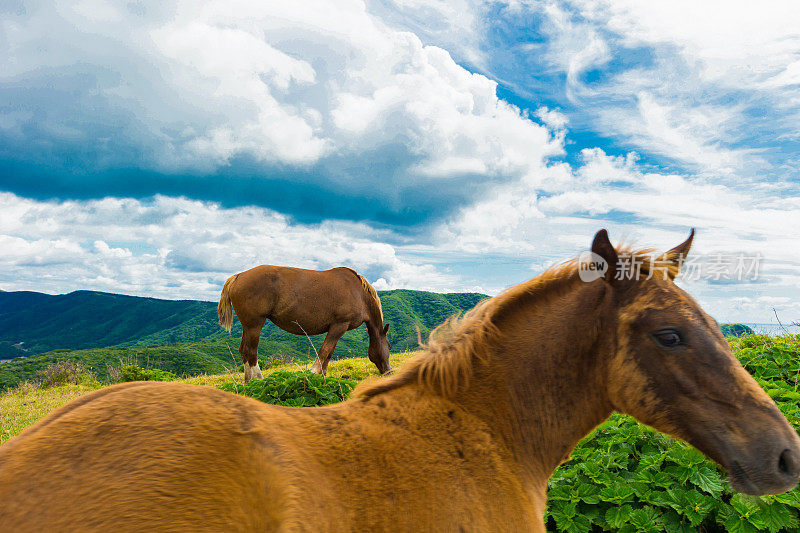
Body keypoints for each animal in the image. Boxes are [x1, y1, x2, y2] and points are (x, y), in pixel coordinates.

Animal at [216, 264, 390, 380]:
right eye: (388, 346)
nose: (389, 371)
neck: (359, 294)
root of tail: (238, 276)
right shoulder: (340, 325)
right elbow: (325, 350)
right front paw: (314, 372)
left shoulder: (336, 328)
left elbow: (329, 353)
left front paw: (322, 376)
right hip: (254, 325)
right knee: (250, 351)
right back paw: (258, 379)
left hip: (248, 326)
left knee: (243, 350)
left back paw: (248, 382)